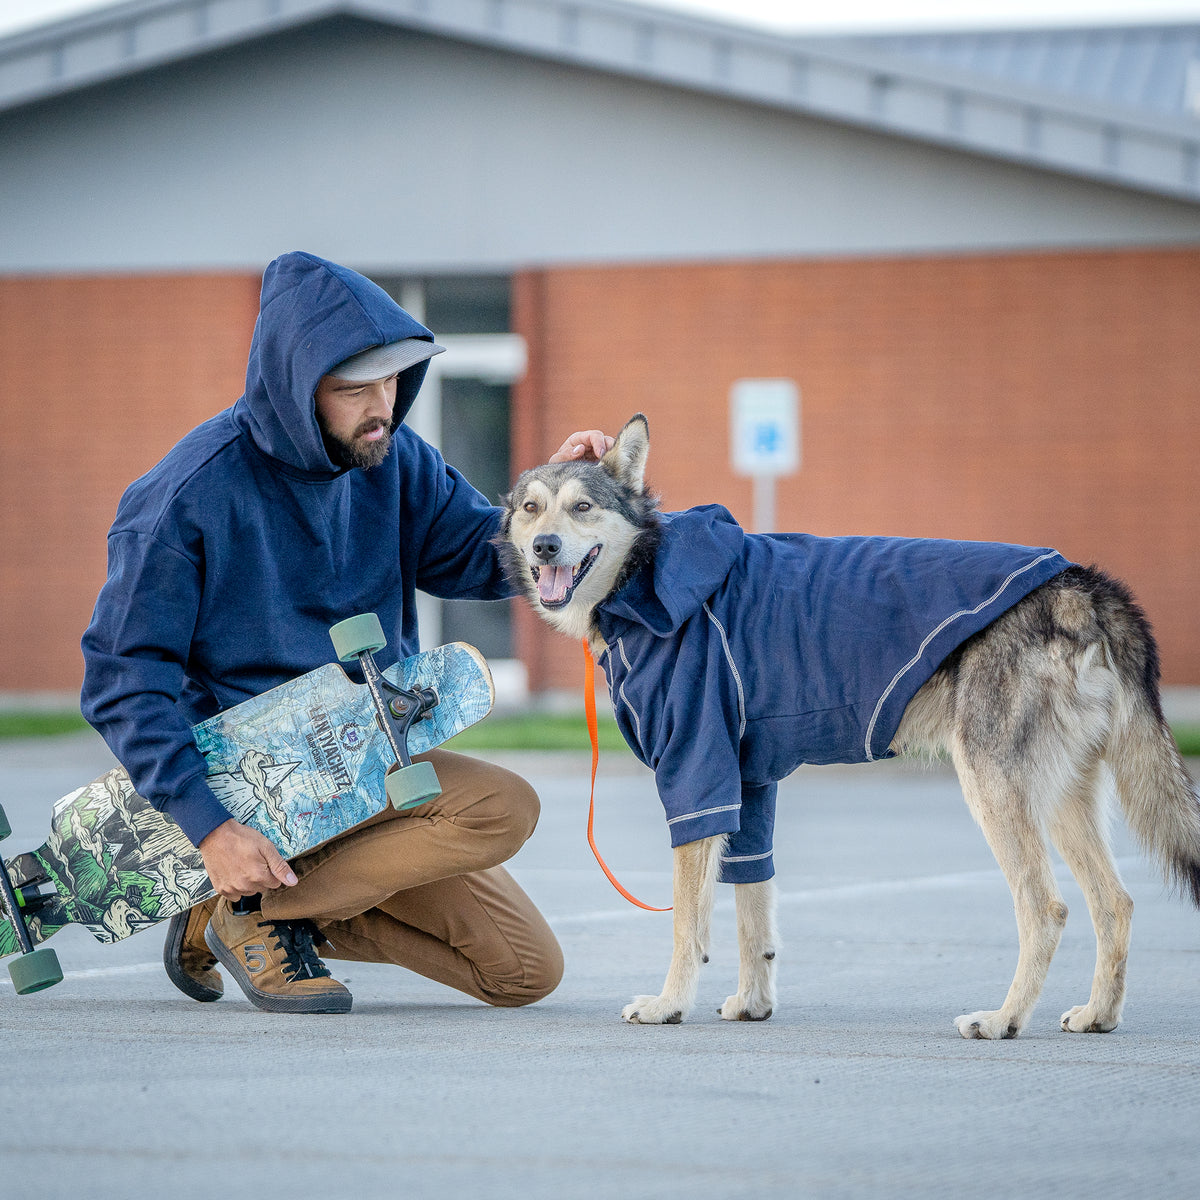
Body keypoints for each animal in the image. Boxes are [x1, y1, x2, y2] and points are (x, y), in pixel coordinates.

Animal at [501, 412, 1200, 1032]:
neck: (648, 577)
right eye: (531, 508)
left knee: (1047, 909)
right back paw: (1097, 1015)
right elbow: (754, 910)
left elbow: (687, 924)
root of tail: (1081, 584)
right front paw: (753, 1004)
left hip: (996, 792)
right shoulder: (748, 788)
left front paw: (669, 1004)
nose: (543, 546)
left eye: (581, 508)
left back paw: (1003, 1020)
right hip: (1059, 801)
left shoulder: (697, 780)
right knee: (1116, 904)